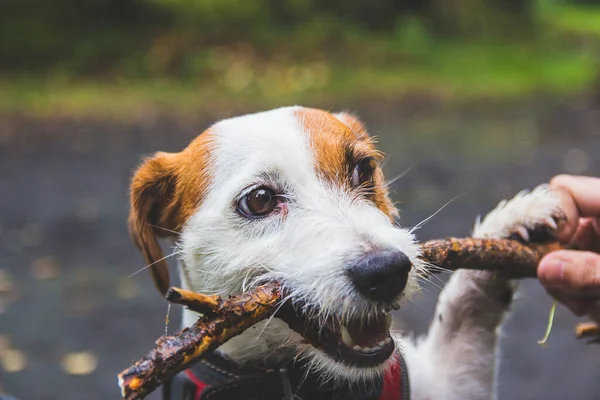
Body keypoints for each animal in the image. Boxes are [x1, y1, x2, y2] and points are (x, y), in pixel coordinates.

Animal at [126, 106, 564, 400]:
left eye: (363, 169)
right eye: (260, 199)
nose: (386, 271)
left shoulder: (451, 384)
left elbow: (463, 311)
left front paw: (513, 220)